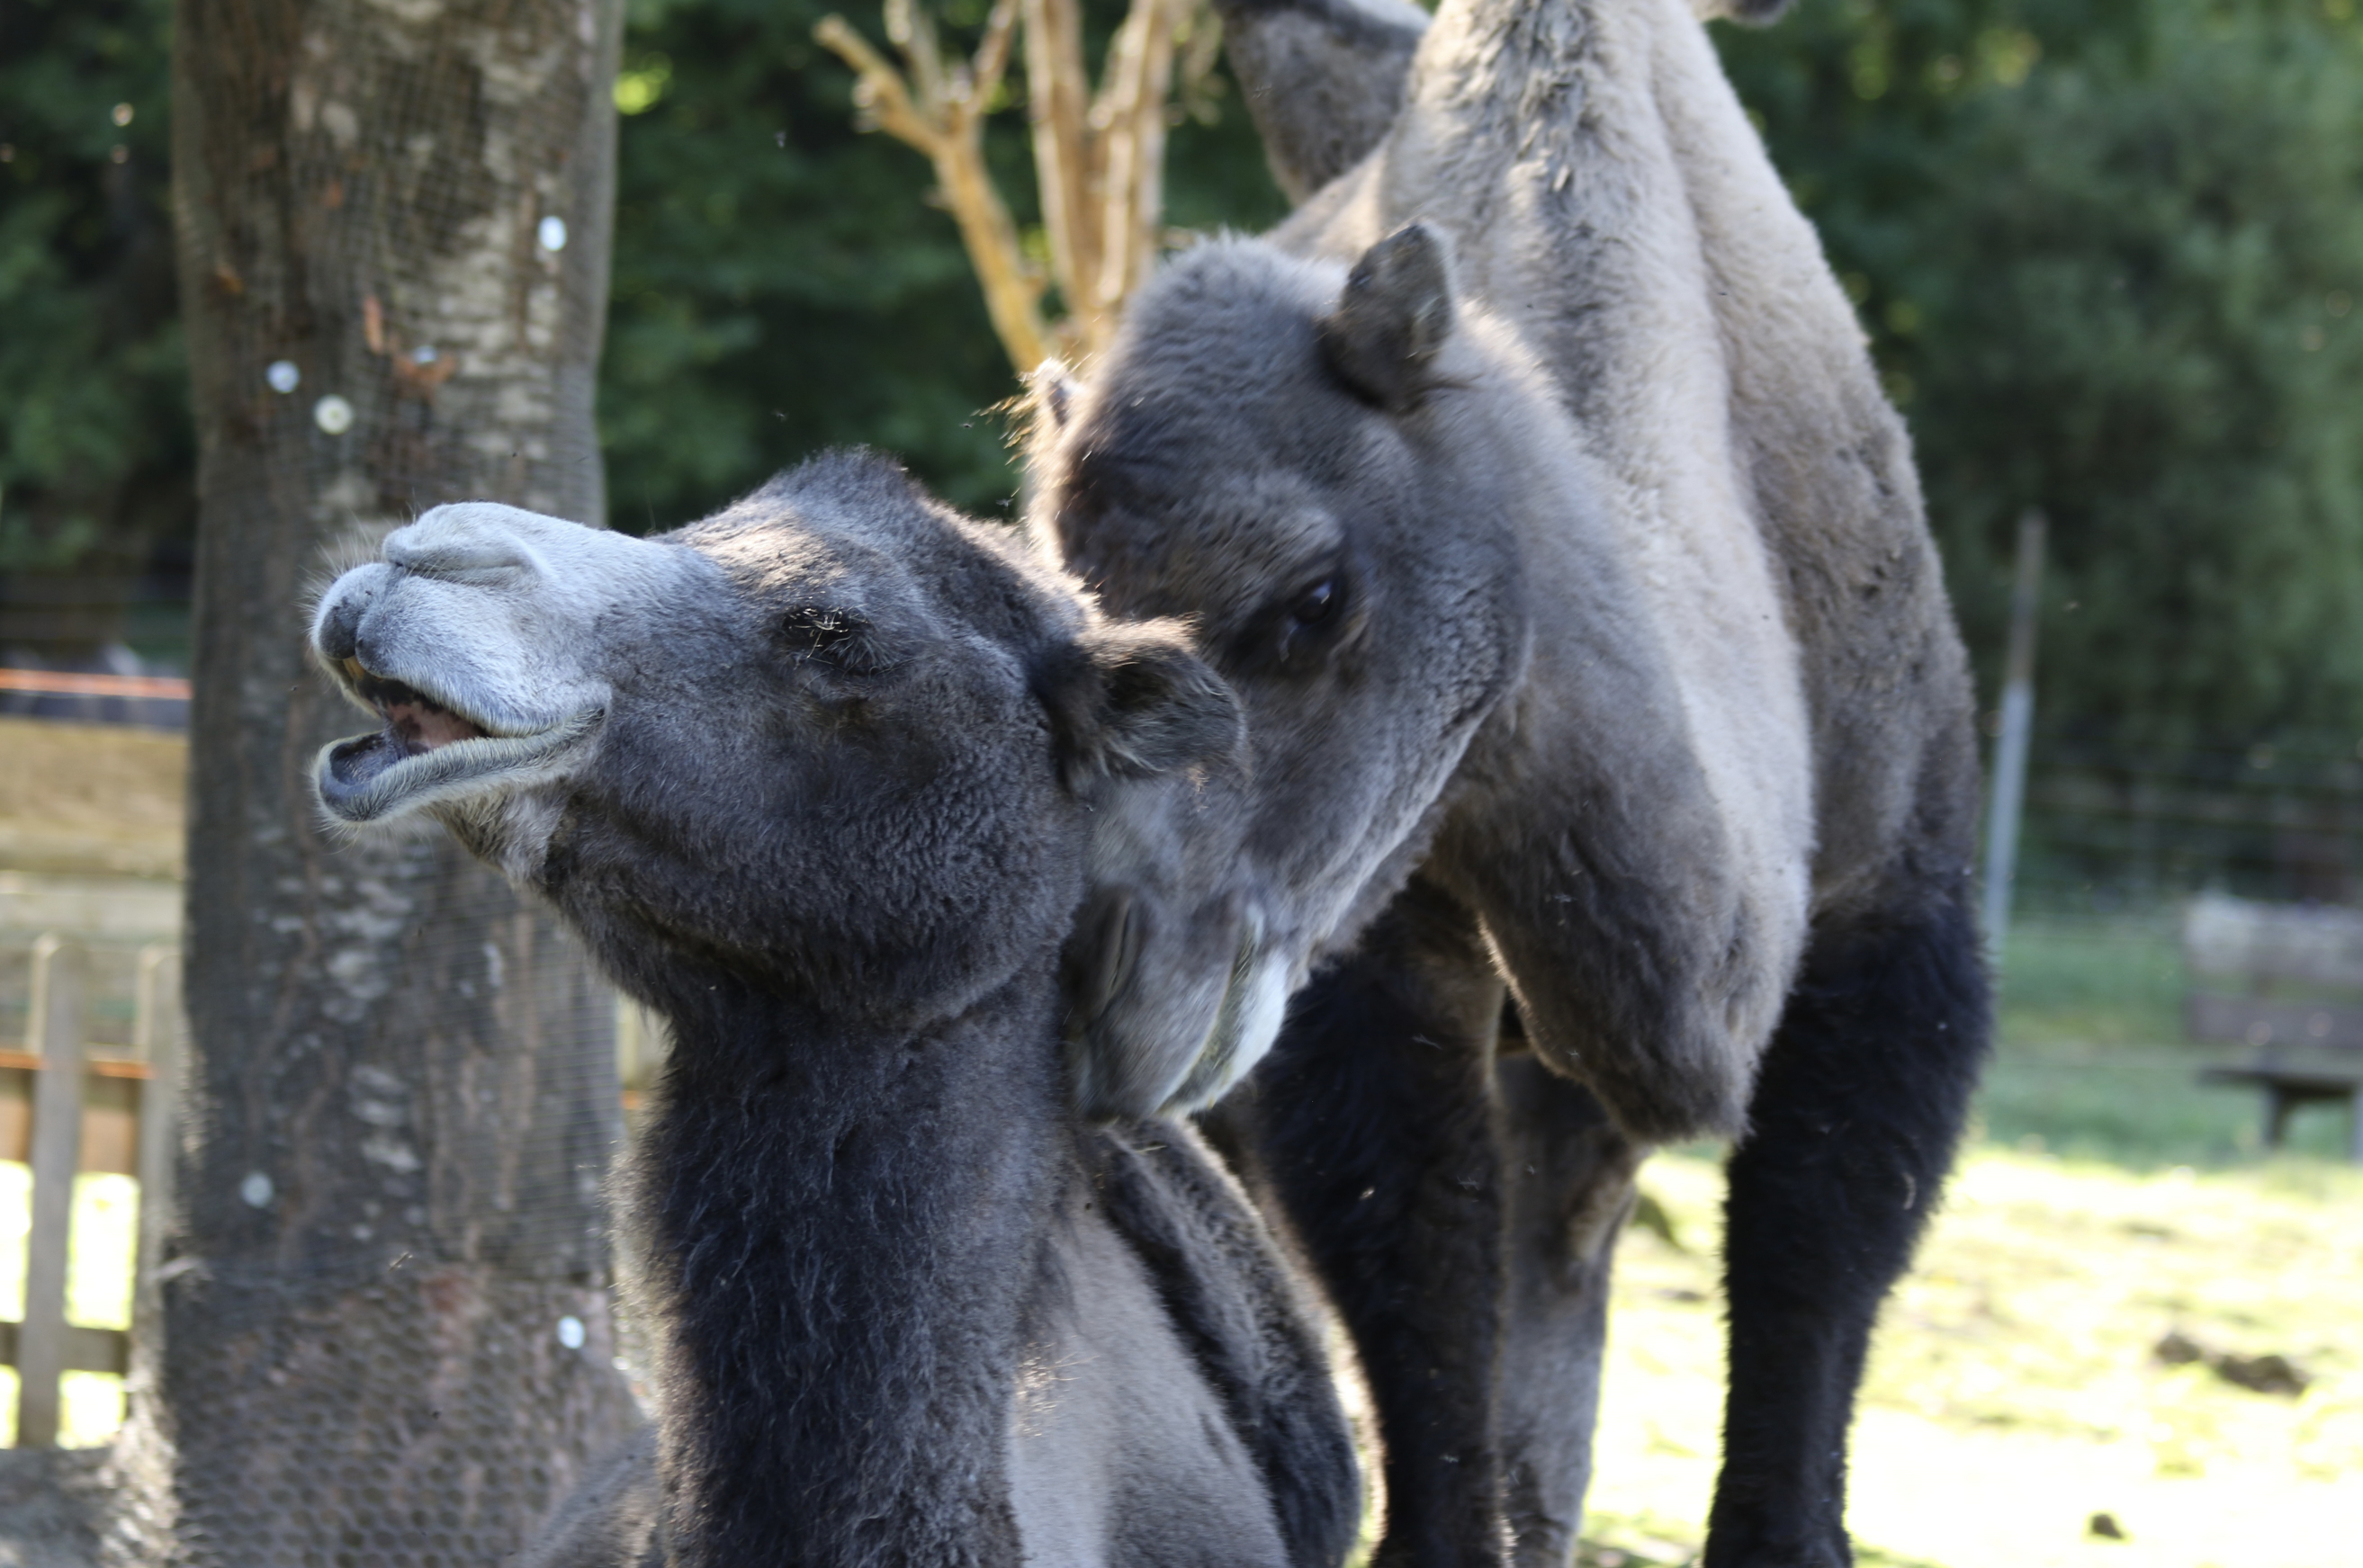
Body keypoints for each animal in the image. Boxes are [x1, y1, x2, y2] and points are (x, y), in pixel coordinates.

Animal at [1022, 0, 1990, 1564]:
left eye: (1312, 596)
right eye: (1053, 619)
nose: (1112, 981)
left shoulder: (1891, 920)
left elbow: (1809, 1267)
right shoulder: (1377, 950)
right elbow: (1418, 1285)